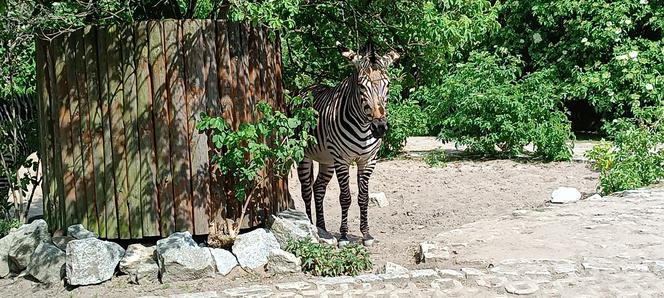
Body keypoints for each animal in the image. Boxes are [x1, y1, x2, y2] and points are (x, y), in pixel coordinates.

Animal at [296, 40, 400, 247]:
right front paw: (344, 236)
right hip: (304, 155)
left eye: (388, 84)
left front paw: (366, 234)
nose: (380, 127)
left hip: (326, 160)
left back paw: (322, 228)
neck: (363, 126)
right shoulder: (342, 160)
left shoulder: (368, 160)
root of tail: (307, 88)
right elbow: (345, 197)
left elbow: (363, 197)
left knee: (318, 188)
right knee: (306, 191)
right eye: (361, 86)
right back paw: (310, 226)